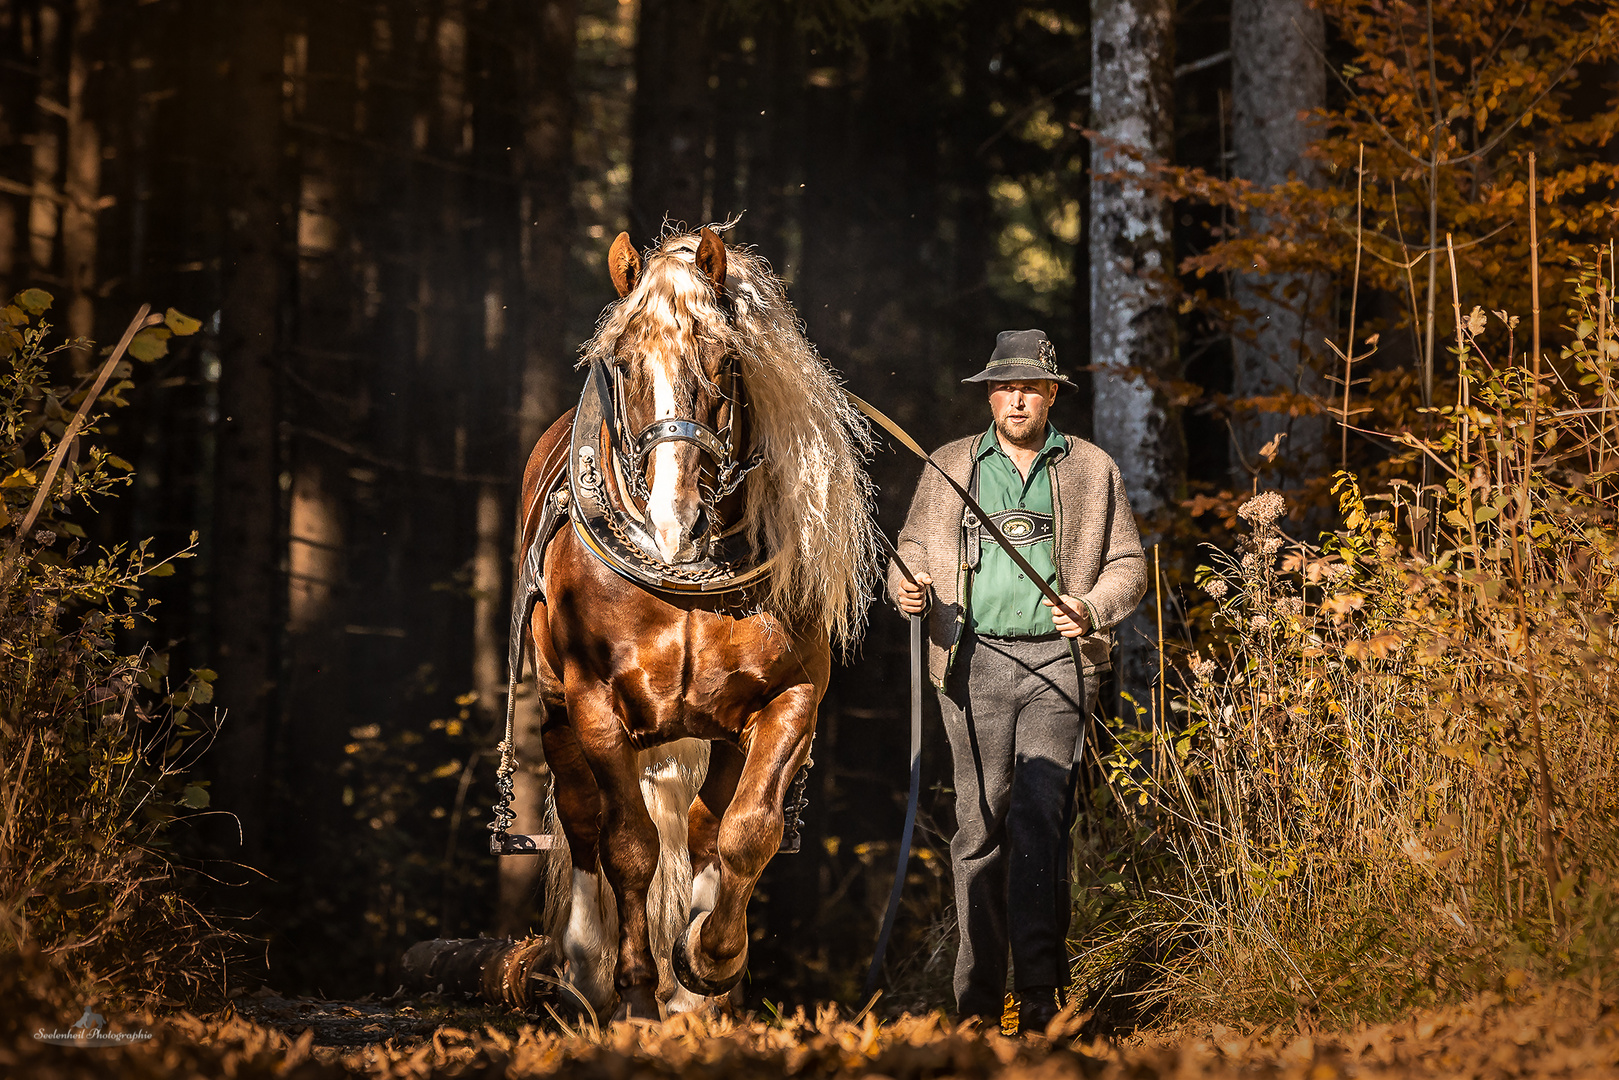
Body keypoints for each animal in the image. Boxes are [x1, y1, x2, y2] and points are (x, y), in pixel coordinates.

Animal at [514, 228, 874, 1023]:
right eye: (622, 363)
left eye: (724, 357)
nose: (672, 514)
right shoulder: (595, 704)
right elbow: (628, 845)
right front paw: (633, 991)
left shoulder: (788, 700)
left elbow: (747, 832)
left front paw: (708, 960)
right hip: (556, 709)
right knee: (582, 824)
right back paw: (583, 968)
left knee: (708, 829)